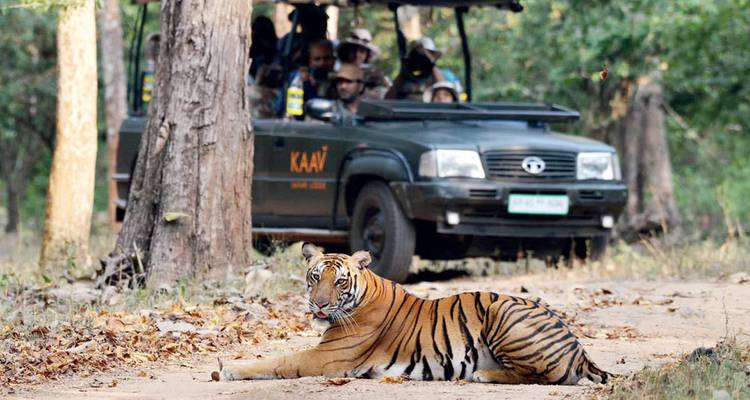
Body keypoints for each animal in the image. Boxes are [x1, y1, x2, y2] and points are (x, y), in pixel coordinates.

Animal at [219, 242, 610, 385]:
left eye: (339, 281)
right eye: (315, 277)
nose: (319, 305)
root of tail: (578, 347)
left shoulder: (326, 358)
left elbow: (279, 361)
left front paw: (230, 369)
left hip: (504, 309)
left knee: (545, 376)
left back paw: (484, 374)